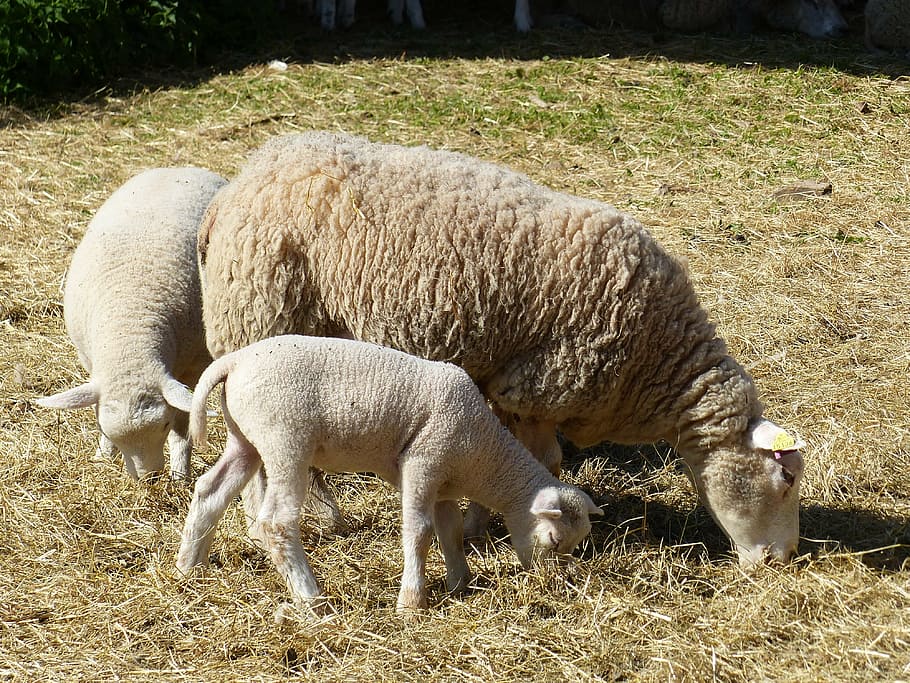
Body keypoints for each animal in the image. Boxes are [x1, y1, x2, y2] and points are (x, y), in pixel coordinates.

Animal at [37, 167, 225, 480]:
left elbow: (183, 426)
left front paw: (180, 474)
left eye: (163, 425)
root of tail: (182, 168)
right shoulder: (92, 362)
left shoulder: (192, 369)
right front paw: (103, 456)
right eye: (111, 433)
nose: (149, 479)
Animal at [176, 335, 601, 612]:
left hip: (244, 437)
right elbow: (421, 532)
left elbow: (450, 531)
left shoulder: (444, 483)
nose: (548, 583)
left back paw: (189, 565)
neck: (483, 456)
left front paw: (460, 582)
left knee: (210, 490)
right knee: (276, 522)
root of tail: (233, 362)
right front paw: (412, 602)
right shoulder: (423, 464)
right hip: (284, 439)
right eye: (554, 540)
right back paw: (311, 598)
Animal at [197, 130, 807, 568]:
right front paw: (481, 526)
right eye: (786, 479)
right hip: (257, 317)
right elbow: (544, 462)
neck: (654, 358)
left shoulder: (520, 393)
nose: (781, 560)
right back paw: (301, 524)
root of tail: (238, 183)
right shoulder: (537, 389)